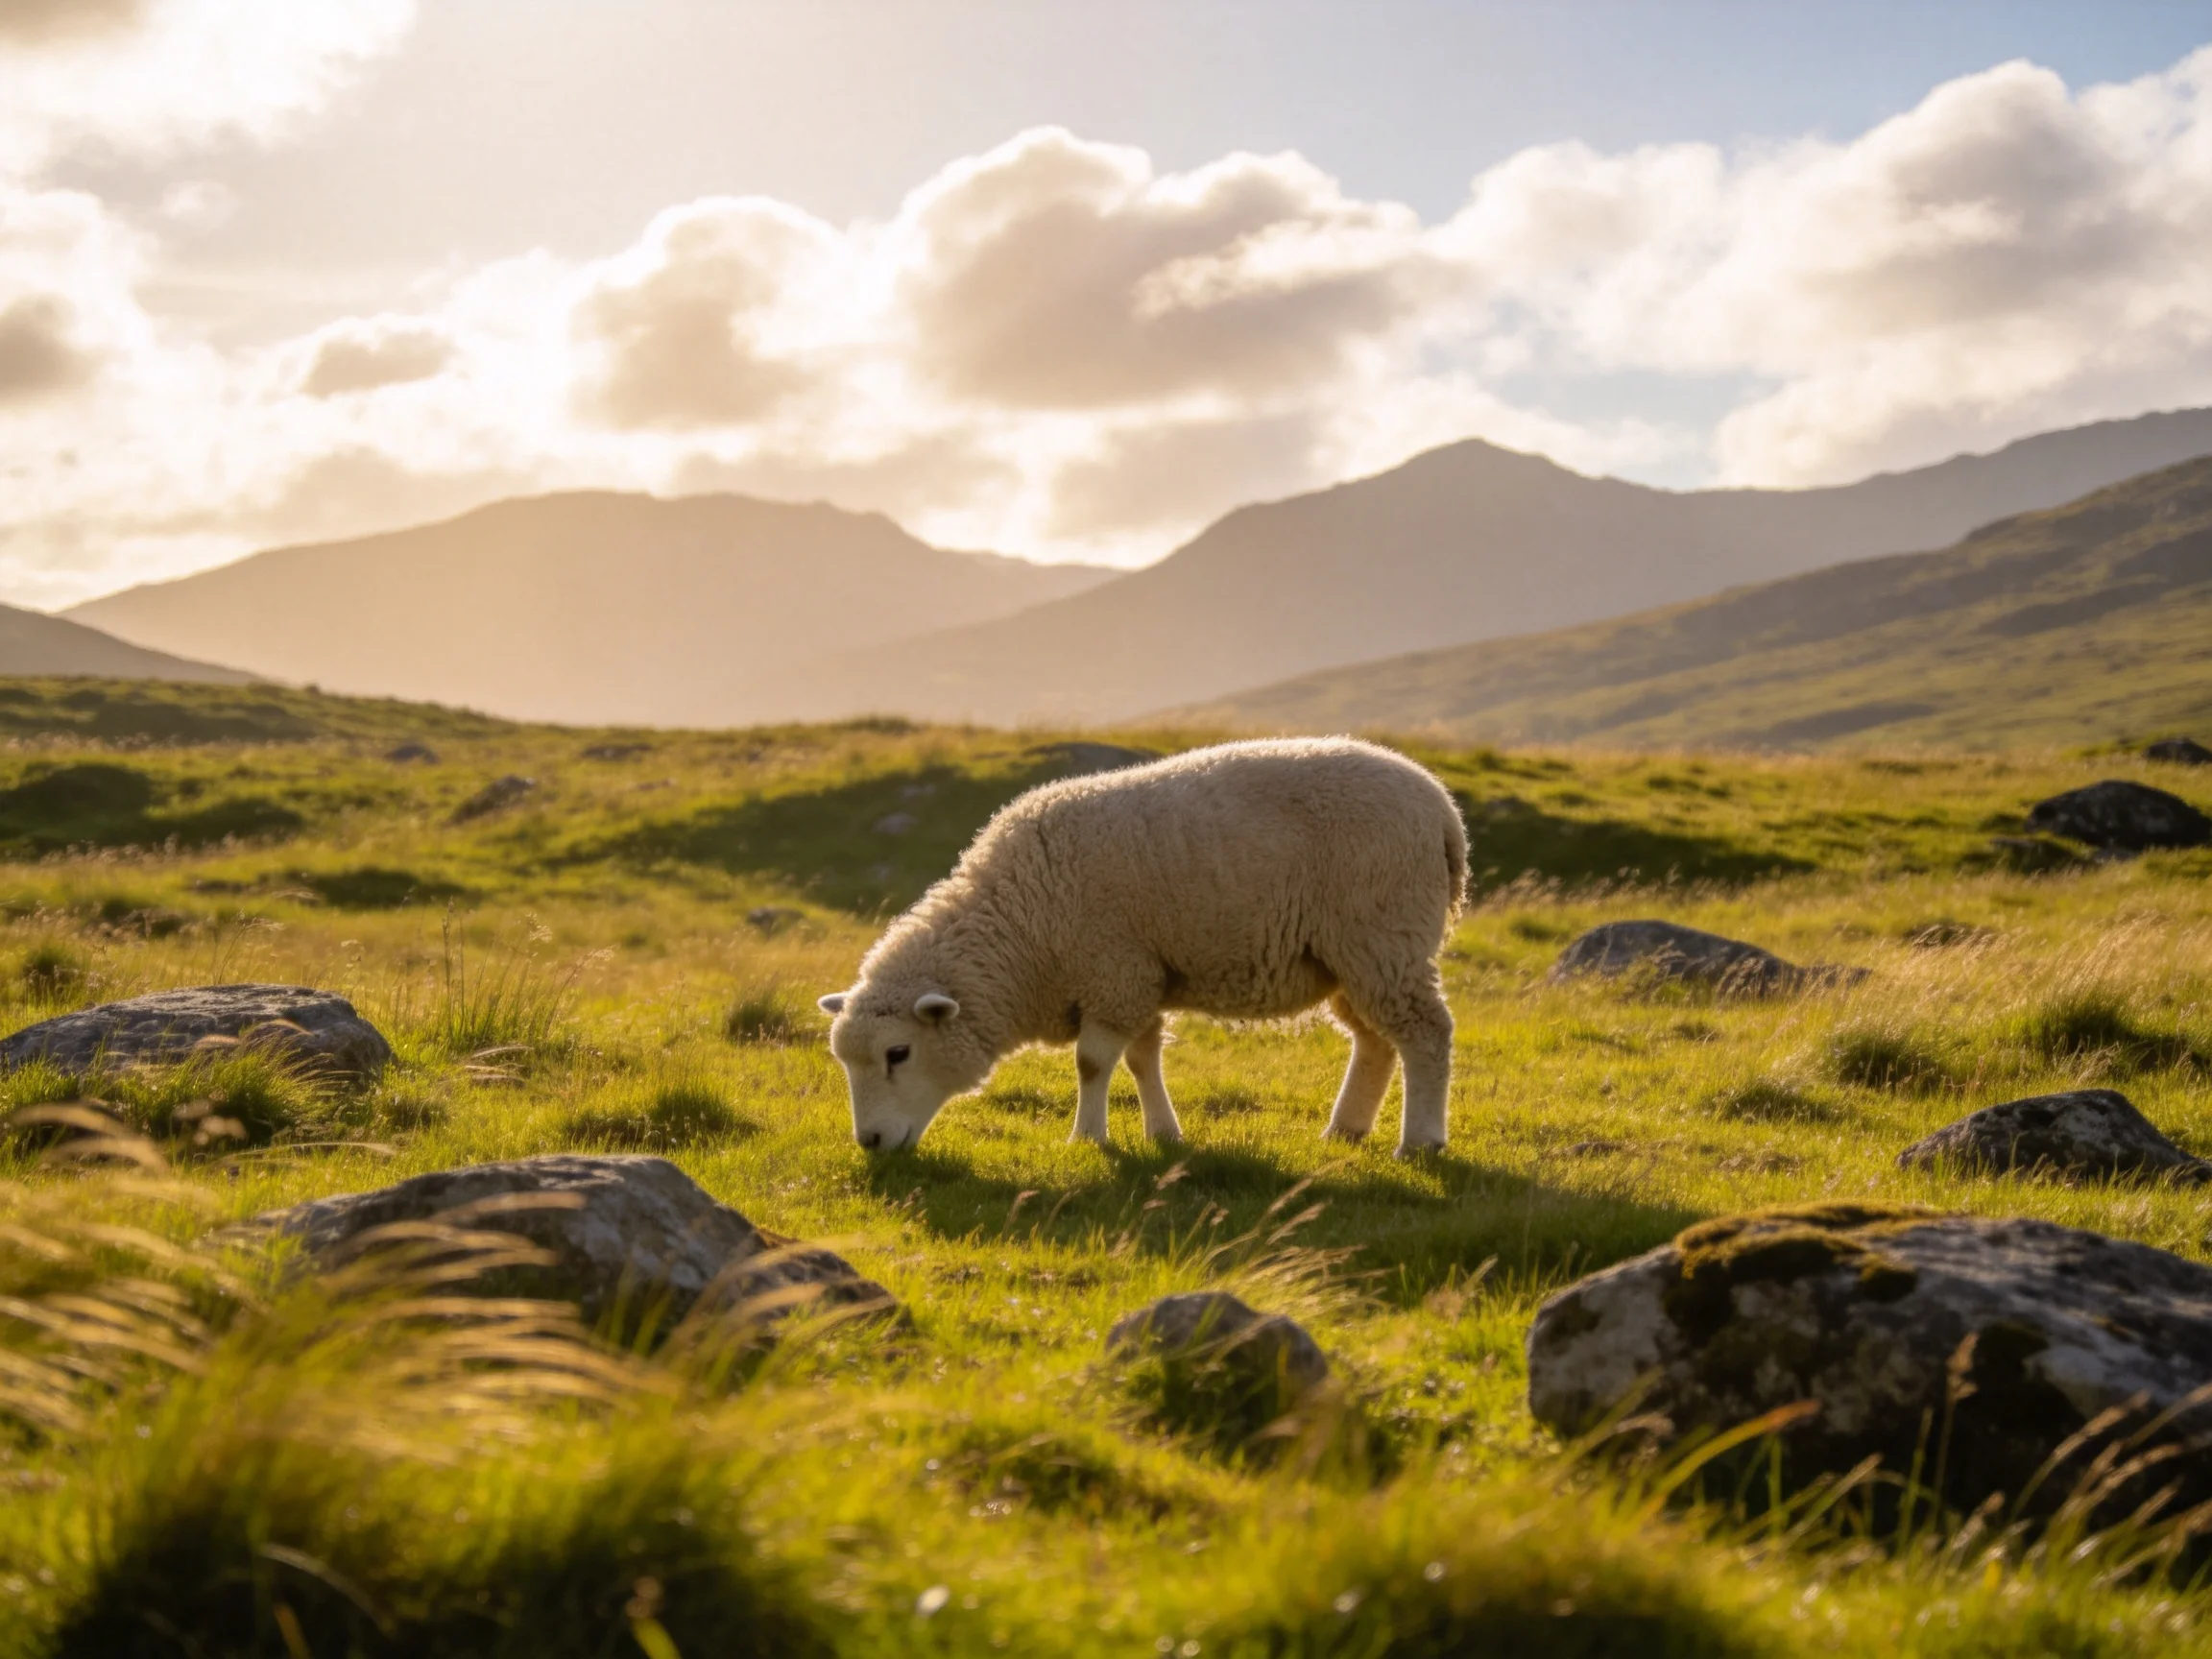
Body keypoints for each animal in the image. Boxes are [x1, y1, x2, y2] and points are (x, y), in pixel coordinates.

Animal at [818, 737, 1467, 1155]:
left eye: (898, 1053)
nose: (869, 1143)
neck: (1022, 924)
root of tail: (1441, 806)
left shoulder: (1114, 971)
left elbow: (1092, 1062)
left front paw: (1087, 1138)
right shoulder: (1139, 976)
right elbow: (1141, 1059)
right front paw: (1164, 1133)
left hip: (1383, 935)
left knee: (1425, 1034)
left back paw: (1421, 1141)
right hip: (1348, 955)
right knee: (1376, 1041)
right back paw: (1346, 1131)